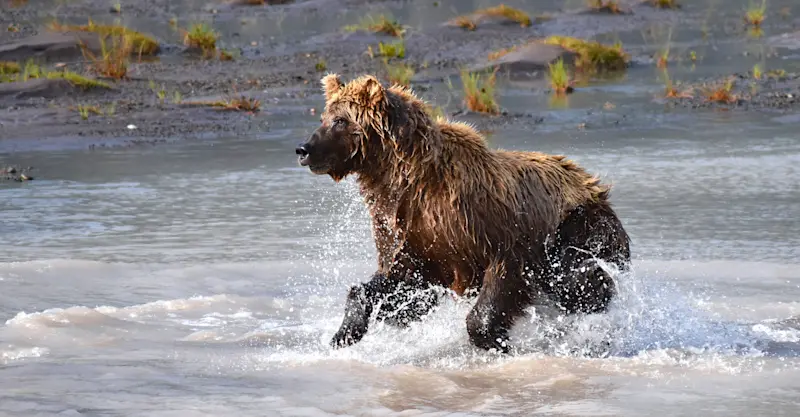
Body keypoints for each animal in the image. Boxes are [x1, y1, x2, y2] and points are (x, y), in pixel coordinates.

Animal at [295, 73, 631, 353]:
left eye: (340, 120)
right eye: (324, 116)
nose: (303, 149)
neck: (405, 178)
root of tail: (595, 184)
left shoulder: (490, 227)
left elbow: (503, 281)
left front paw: (495, 339)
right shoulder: (409, 231)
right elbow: (400, 284)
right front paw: (343, 334)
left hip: (578, 225)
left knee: (578, 279)